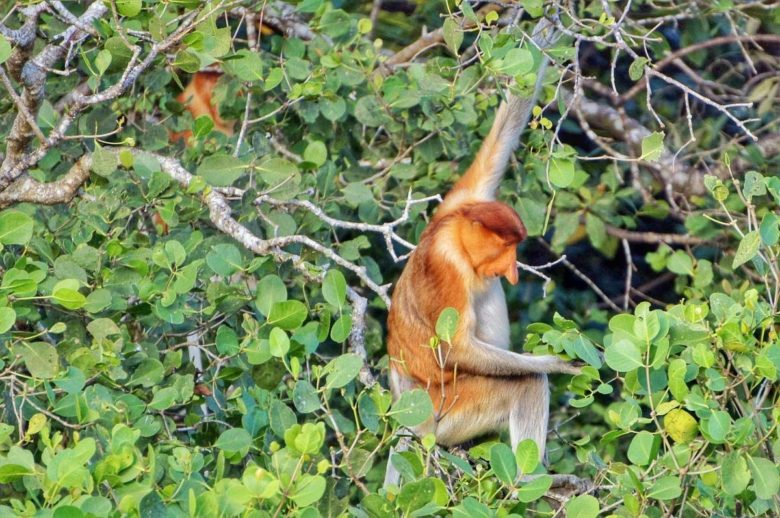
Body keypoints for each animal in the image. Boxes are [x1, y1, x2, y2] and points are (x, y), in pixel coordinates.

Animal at [386, 95, 580, 462]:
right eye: (506, 247)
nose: (513, 269)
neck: (453, 234)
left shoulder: (461, 201)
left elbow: (502, 137)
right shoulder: (446, 265)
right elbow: (455, 350)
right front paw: (556, 364)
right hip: (448, 413)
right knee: (526, 384)